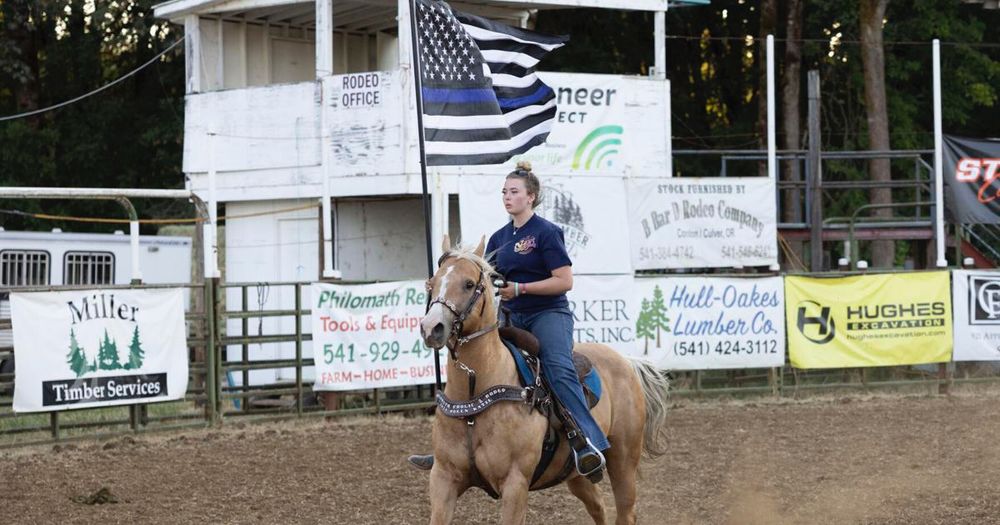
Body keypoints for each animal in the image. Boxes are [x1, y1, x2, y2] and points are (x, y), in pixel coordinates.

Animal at [418, 238, 668, 524]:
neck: (474, 395)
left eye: (469, 284)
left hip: (624, 459)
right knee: (599, 507)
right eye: (431, 282)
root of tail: (627, 361)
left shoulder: (515, 483)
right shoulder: (443, 478)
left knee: (625, 511)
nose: (431, 327)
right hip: (576, 476)